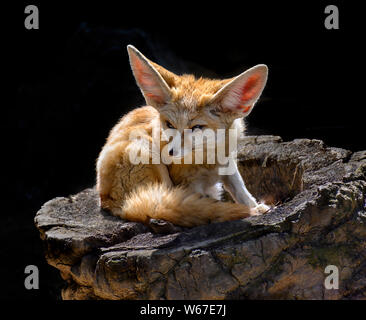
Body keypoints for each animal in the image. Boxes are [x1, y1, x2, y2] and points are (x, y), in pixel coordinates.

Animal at [96, 45, 270, 228]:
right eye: (169, 124)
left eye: (196, 127)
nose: (170, 153)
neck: (209, 159)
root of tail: (107, 201)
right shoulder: (188, 184)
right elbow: (198, 205)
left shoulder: (228, 164)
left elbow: (241, 190)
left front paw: (254, 206)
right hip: (146, 151)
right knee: (158, 209)